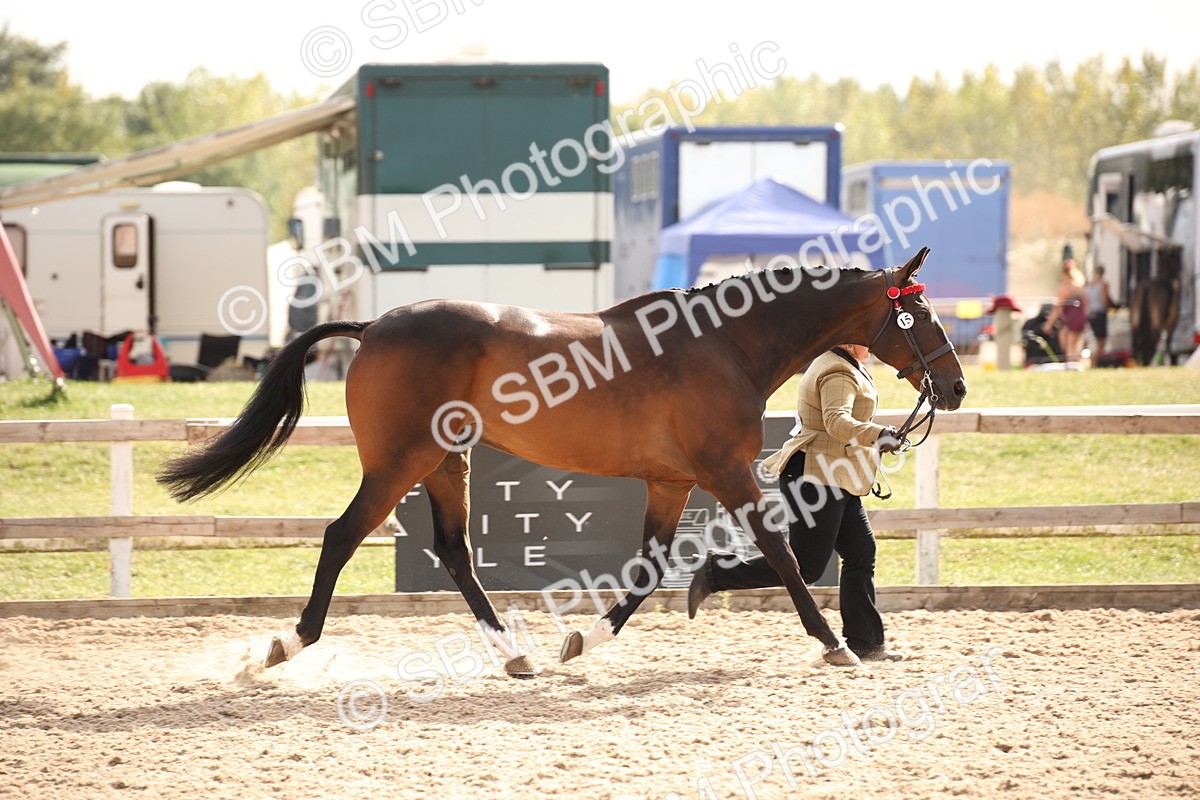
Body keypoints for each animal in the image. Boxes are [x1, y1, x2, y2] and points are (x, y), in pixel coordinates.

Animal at [157, 247, 966, 677]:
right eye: (920, 316)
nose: (956, 388)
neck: (723, 345)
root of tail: (373, 324)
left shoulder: (672, 481)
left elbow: (649, 568)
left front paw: (583, 639)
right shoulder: (726, 473)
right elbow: (784, 554)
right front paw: (835, 645)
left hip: (445, 462)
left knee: (455, 550)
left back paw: (512, 653)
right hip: (399, 463)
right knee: (342, 536)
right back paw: (284, 645)